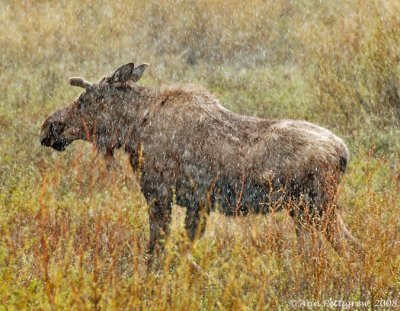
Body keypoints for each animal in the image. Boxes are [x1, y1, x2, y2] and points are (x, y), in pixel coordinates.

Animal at [40, 62, 360, 262]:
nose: (49, 126)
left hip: (319, 206)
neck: (133, 129)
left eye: (85, 98)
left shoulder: (159, 195)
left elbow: (156, 250)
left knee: (347, 245)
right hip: (303, 211)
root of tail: (343, 152)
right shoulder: (198, 205)